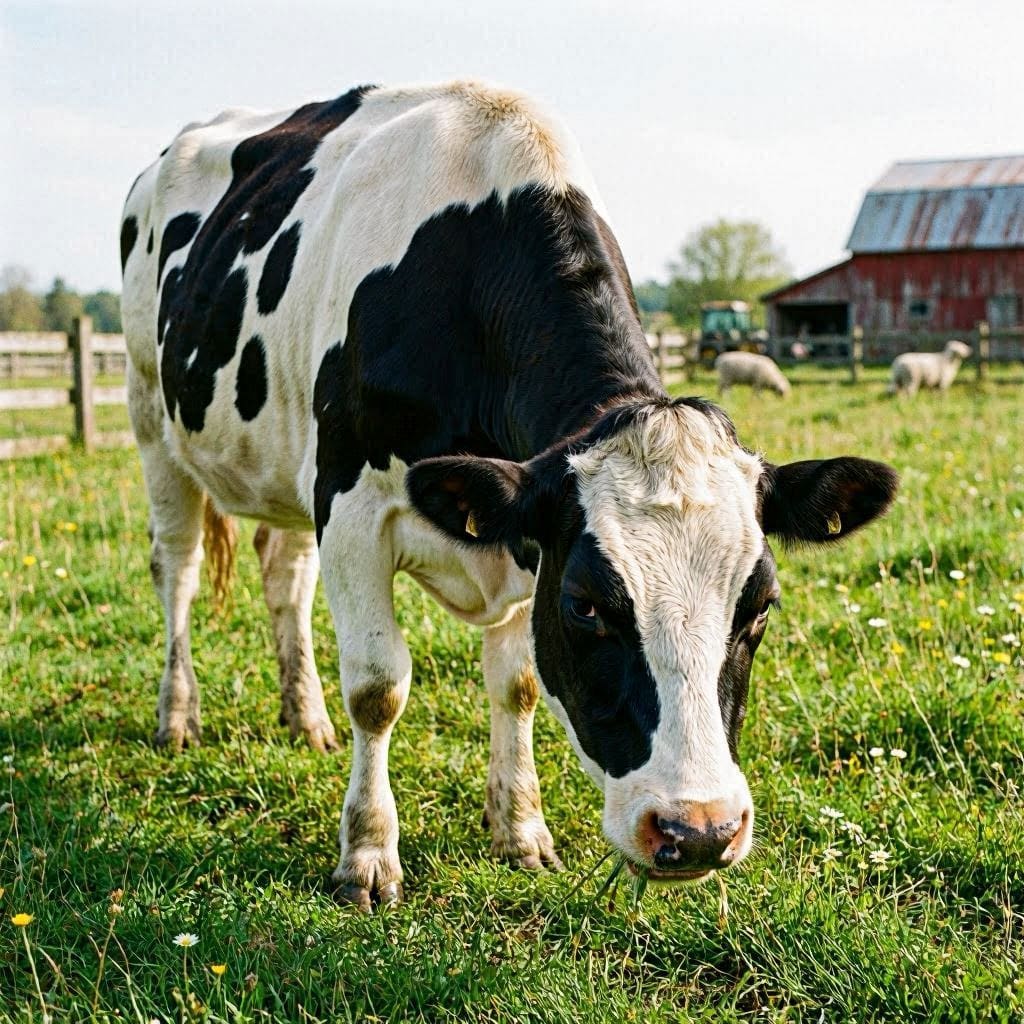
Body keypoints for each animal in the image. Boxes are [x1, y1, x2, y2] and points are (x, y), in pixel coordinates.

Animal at [120, 80, 897, 910]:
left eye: (761, 607)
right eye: (586, 605)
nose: (699, 830)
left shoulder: (520, 534)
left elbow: (519, 683)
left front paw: (521, 831)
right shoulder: (352, 507)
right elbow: (378, 687)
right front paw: (368, 856)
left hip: (286, 457)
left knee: (284, 579)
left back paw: (305, 718)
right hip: (151, 417)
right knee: (178, 570)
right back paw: (178, 716)